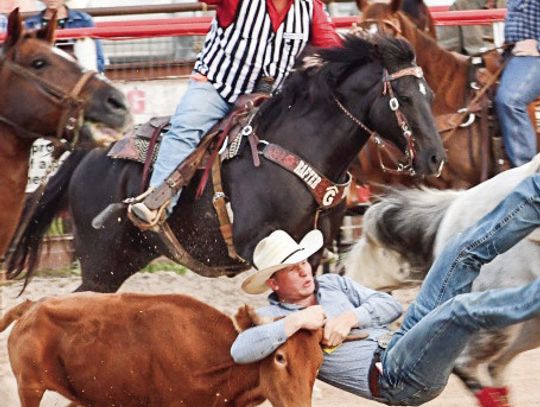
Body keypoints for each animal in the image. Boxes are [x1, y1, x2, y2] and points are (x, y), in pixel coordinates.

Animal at [8, 34, 446, 290]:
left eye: (429, 95)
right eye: (404, 98)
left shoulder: (313, 251)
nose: (435, 157)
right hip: (101, 264)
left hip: (126, 259)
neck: (299, 149)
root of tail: (91, 154)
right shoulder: (260, 242)